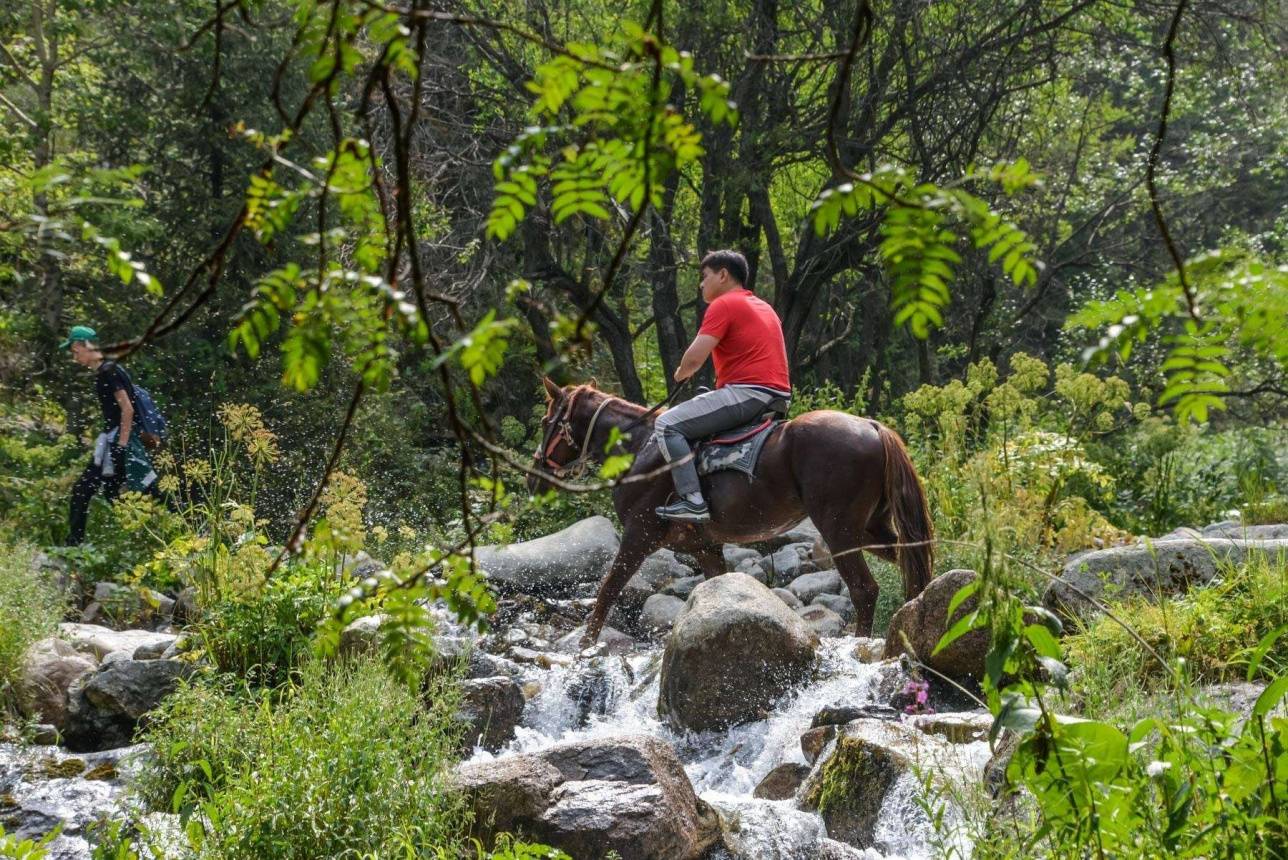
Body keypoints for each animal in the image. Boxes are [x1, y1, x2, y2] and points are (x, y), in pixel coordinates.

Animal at [528, 378, 932, 643]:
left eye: (547, 422)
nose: (533, 479)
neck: (638, 447)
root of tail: (872, 427)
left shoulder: (638, 537)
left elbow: (608, 590)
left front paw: (585, 647)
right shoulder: (705, 548)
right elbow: (718, 594)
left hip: (839, 531)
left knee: (864, 589)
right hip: (869, 529)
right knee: (910, 563)